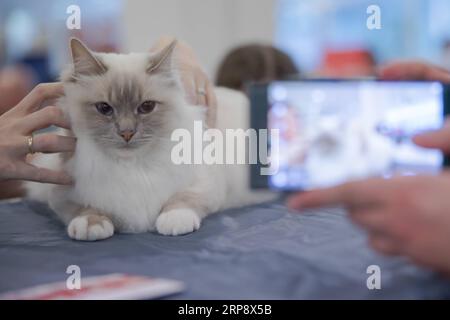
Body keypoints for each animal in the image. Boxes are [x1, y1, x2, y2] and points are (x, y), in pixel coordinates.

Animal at [28, 38, 274, 240]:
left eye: (146, 107)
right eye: (104, 108)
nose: (127, 132)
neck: (132, 167)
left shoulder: (206, 185)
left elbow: (182, 200)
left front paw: (173, 222)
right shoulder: (62, 193)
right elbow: (85, 210)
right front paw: (91, 225)